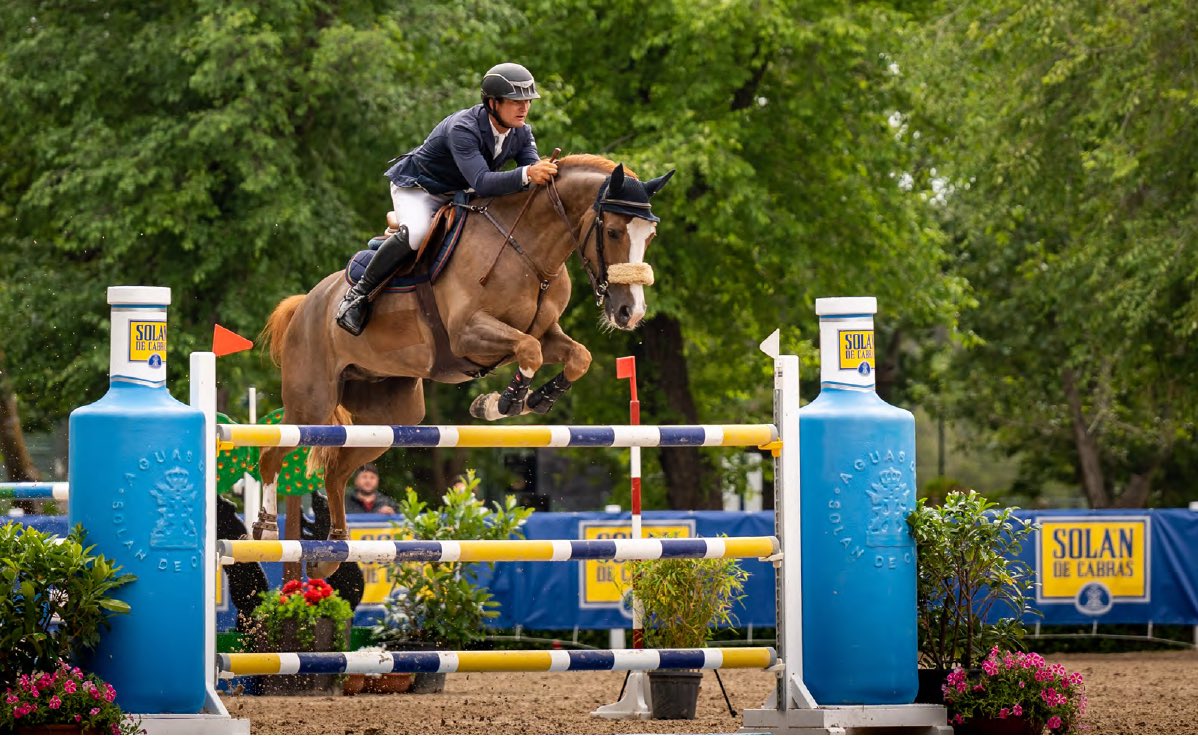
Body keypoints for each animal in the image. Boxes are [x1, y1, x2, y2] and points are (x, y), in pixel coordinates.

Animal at [253, 155, 675, 577]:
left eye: (651, 236)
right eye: (615, 232)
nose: (631, 312)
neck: (531, 253)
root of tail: (306, 303)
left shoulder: (545, 332)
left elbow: (576, 356)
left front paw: (532, 399)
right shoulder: (468, 334)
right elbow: (530, 351)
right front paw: (504, 402)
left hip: (389, 415)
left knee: (336, 471)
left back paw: (331, 552)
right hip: (312, 403)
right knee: (273, 453)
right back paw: (267, 530)